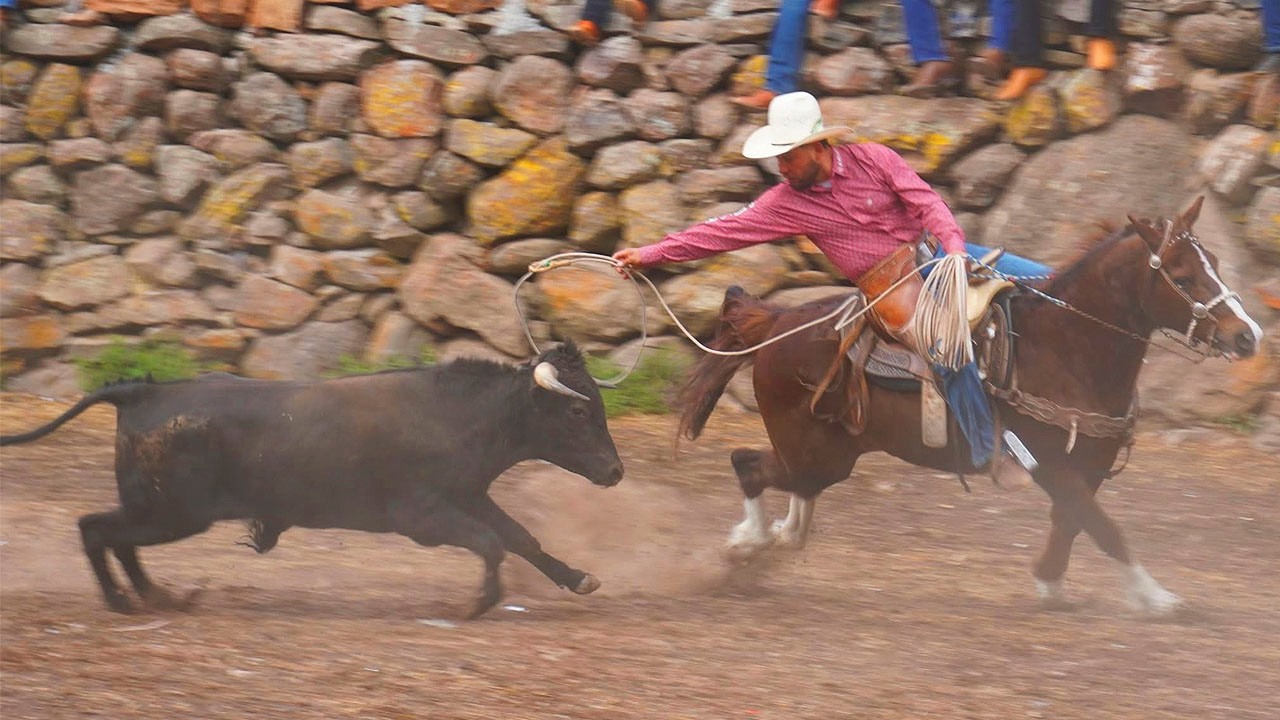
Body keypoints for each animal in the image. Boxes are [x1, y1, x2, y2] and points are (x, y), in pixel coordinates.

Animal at [676, 197, 1263, 614]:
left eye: (1213, 262)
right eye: (1182, 276)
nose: (1247, 336)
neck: (1066, 346)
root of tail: (777, 320)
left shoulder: (1088, 464)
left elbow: (1075, 522)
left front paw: (1050, 583)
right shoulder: (1047, 461)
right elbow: (1103, 527)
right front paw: (1155, 598)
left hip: (829, 454)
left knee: (786, 484)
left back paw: (772, 537)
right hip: (813, 451)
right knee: (748, 465)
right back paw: (748, 542)